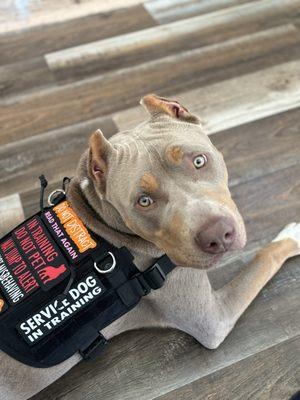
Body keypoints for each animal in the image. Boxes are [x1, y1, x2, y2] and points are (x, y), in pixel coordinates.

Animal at [0, 94, 300, 400]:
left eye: (199, 161)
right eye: (144, 201)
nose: (218, 235)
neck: (98, 223)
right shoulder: (212, 320)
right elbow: (265, 256)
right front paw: (293, 234)